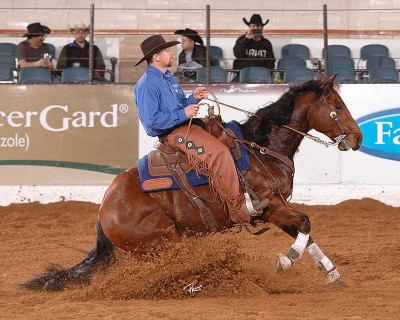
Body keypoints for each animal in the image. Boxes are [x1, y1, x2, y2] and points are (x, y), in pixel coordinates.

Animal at [24, 74, 362, 290]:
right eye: (338, 105)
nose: (358, 138)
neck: (262, 147)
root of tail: (103, 209)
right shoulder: (270, 206)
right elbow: (305, 223)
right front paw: (285, 261)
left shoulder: (276, 210)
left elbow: (306, 232)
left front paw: (332, 274)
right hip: (164, 240)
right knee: (173, 265)